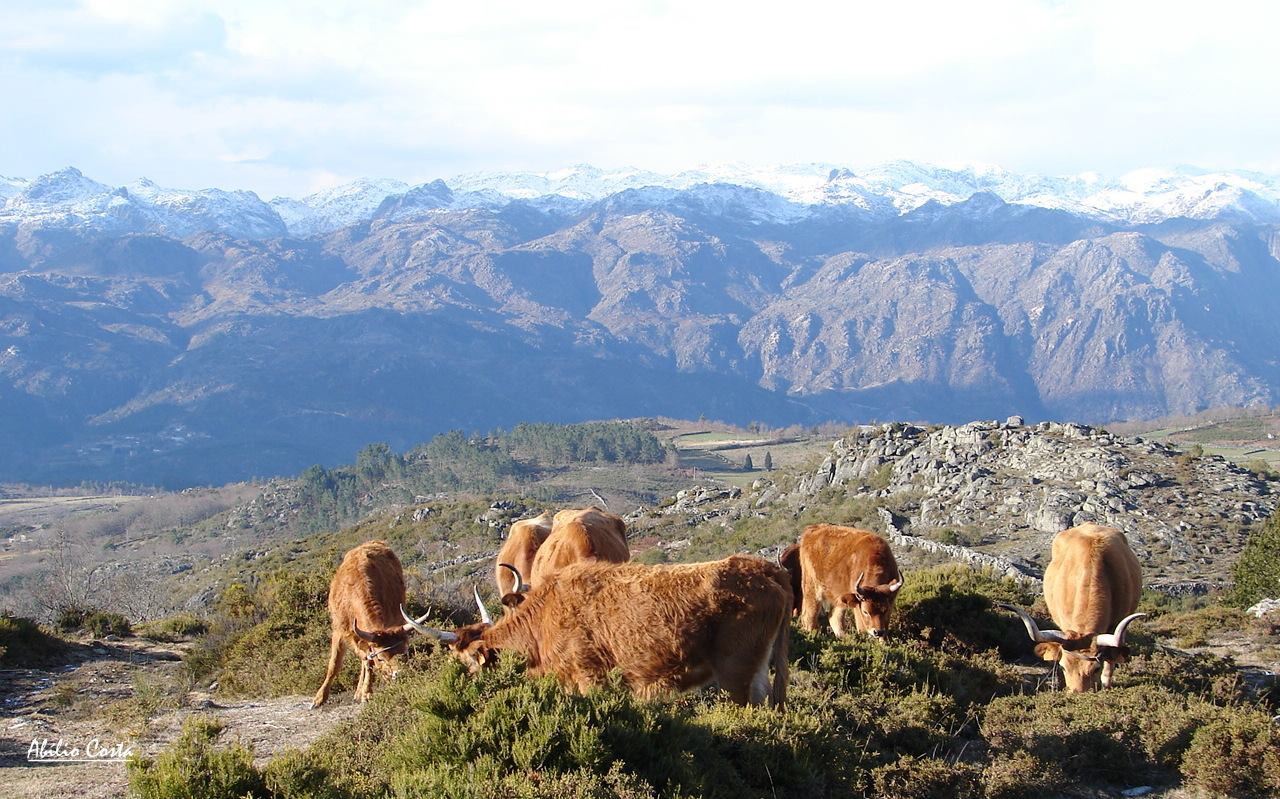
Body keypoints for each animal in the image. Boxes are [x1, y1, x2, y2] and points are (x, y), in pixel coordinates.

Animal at [311, 540, 432, 706]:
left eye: (404, 653)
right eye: (381, 658)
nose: (399, 674)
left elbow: (368, 663)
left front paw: (367, 692)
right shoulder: (339, 630)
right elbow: (334, 664)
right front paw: (319, 697)